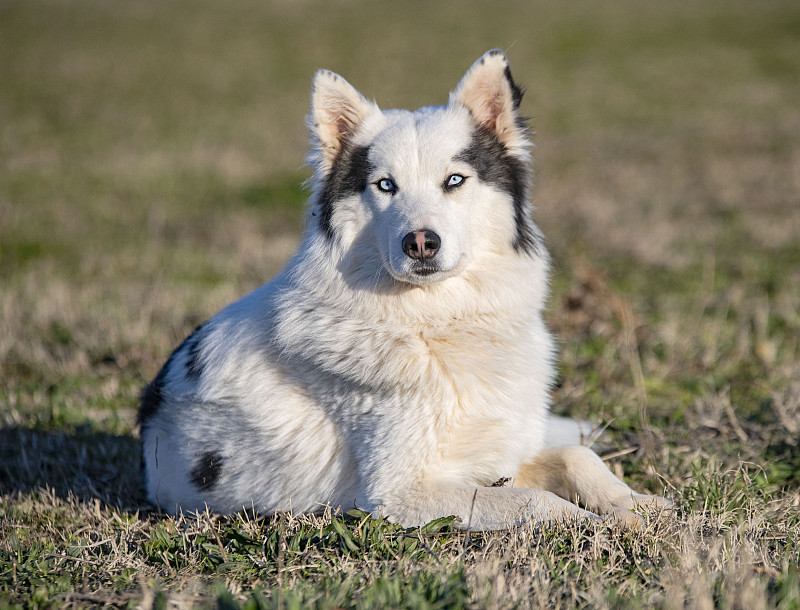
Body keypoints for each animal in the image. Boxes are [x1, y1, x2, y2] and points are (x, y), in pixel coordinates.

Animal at [138, 50, 668, 528]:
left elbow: (576, 460)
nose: (420, 242)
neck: (434, 325)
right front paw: (596, 524)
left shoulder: (495, 456)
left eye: (454, 180)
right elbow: (537, 504)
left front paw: (635, 506)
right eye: (385, 186)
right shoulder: (400, 493)